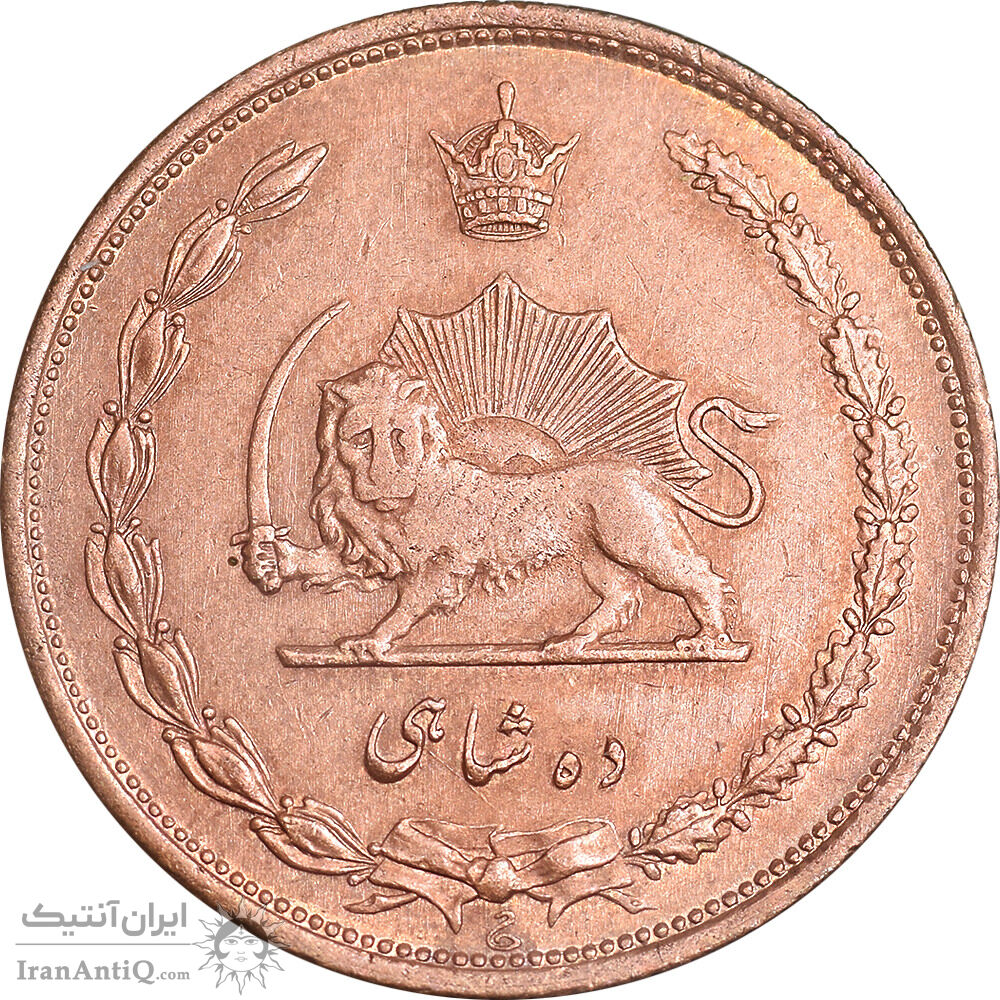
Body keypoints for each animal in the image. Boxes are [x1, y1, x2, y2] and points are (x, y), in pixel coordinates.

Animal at [244, 362, 772, 660]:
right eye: (360, 438)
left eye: (399, 436)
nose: (385, 483)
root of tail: (645, 474)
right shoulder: (378, 546)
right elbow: (338, 562)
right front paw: (270, 560)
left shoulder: (442, 561)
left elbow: (409, 602)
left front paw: (373, 641)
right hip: (593, 554)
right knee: (621, 596)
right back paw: (569, 643)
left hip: (636, 536)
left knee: (699, 576)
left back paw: (709, 641)